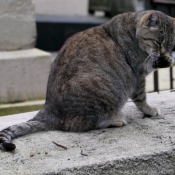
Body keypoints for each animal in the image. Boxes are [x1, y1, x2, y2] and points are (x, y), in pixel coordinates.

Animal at [0, 10, 175, 151]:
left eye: (171, 45)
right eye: (158, 42)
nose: (164, 52)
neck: (132, 30)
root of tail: (48, 110)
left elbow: (153, 62)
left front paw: (166, 60)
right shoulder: (138, 74)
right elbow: (142, 99)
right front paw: (150, 110)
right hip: (102, 90)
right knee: (83, 124)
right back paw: (114, 120)